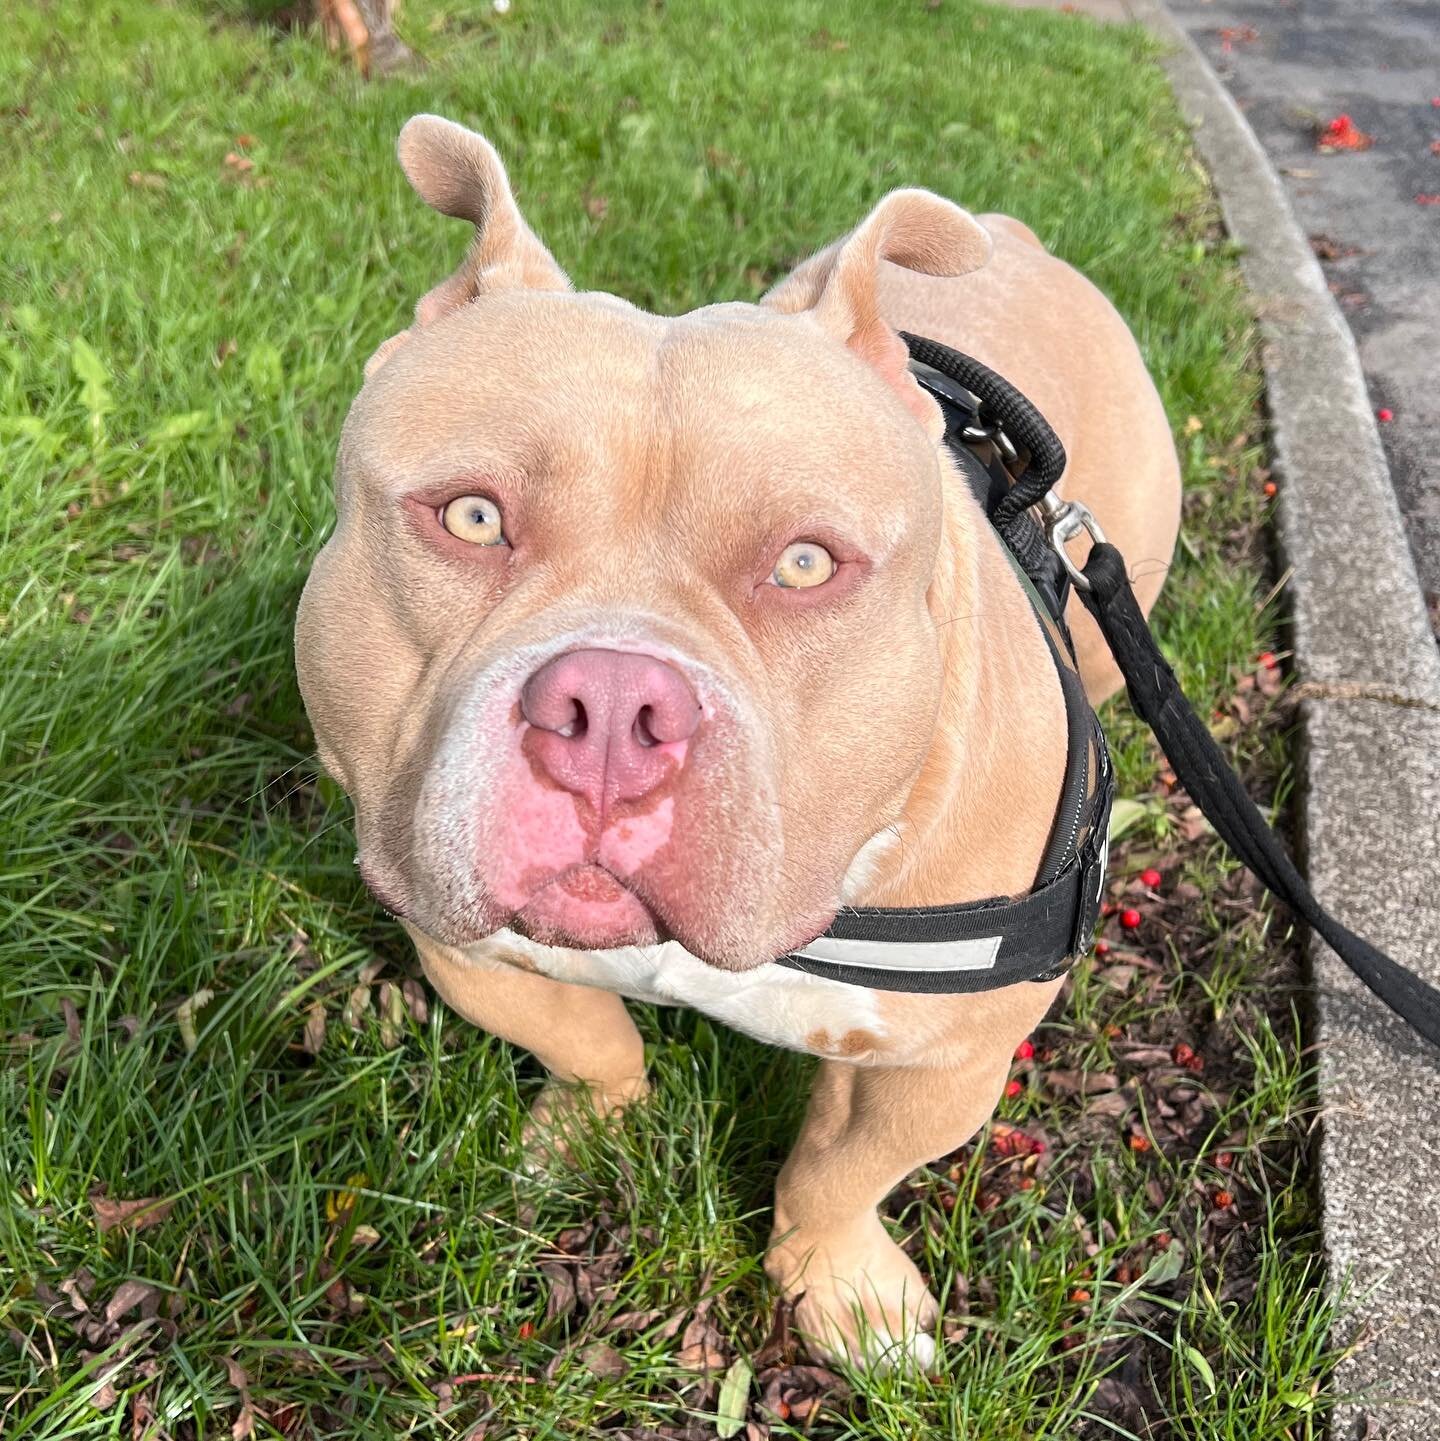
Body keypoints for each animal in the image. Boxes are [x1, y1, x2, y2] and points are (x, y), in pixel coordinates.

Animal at [295, 118, 1181, 1366]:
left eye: (805, 564)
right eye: (471, 516)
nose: (612, 709)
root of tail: (1014, 238)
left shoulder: (937, 1064)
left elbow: (838, 1174)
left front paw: (844, 1290)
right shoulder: (467, 945)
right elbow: (594, 1045)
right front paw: (581, 1134)